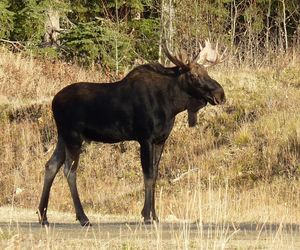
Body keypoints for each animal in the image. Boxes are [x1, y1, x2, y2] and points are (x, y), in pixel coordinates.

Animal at [37, 40, 225, 226]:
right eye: (194, 76)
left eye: (207, 72)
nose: (220, 95)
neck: (171, 105)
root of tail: (53, 102)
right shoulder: (145, 138)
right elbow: (148, 175)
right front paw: (147, 216)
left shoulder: (160, 140)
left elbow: (155, 175)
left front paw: (155, 215)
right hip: (73, 136)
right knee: (69, 170)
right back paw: (83, 217)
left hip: (62, 137)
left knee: (51, 165)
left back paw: (43, 216)